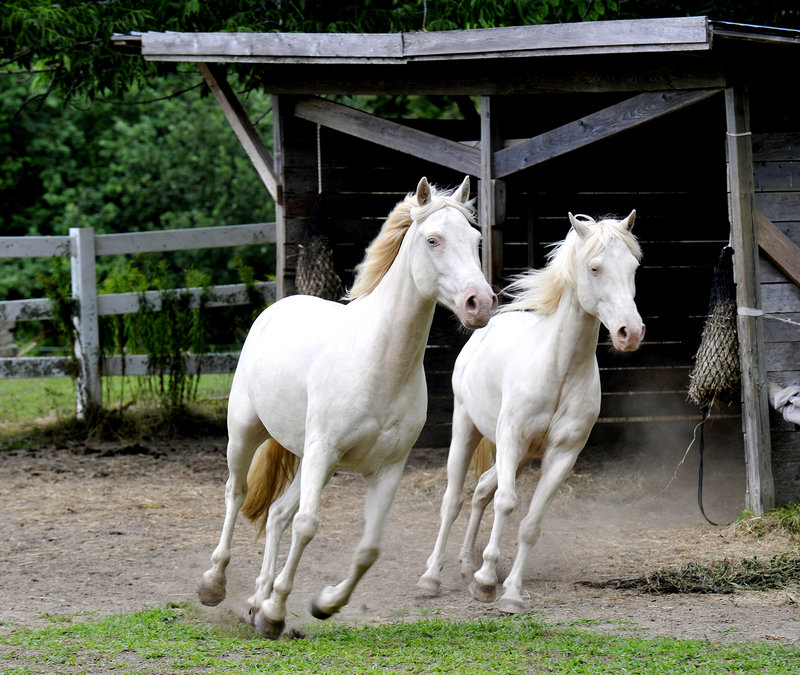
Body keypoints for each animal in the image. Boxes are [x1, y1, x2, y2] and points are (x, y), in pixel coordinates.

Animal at [198, 176, 494, 640]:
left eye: (476, 239)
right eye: (433, 240)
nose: (479, 302)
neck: (380, 363)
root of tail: (279, 307)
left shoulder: (386, 468)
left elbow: (369, 548)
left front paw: (322, 604)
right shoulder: (324, 451)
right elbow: (307, 525)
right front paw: (277, 611)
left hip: (309, 459)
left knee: (277, 514)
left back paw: (255, 603)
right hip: (247, 433)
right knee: (237, 494)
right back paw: (215, 585)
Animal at [418, 213, 644, 616]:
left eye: (633, 267)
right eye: (595, 267)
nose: (629, 333)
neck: (559, 370)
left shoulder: (562, 455)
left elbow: (530, 523)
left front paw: (509, 593)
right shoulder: (511, 437)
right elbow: (507, 503)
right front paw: (486, 582)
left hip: (521, 457)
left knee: (481, 490)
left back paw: (466, 563)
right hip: (468, 429)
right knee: (454, 499)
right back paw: (432, 578)